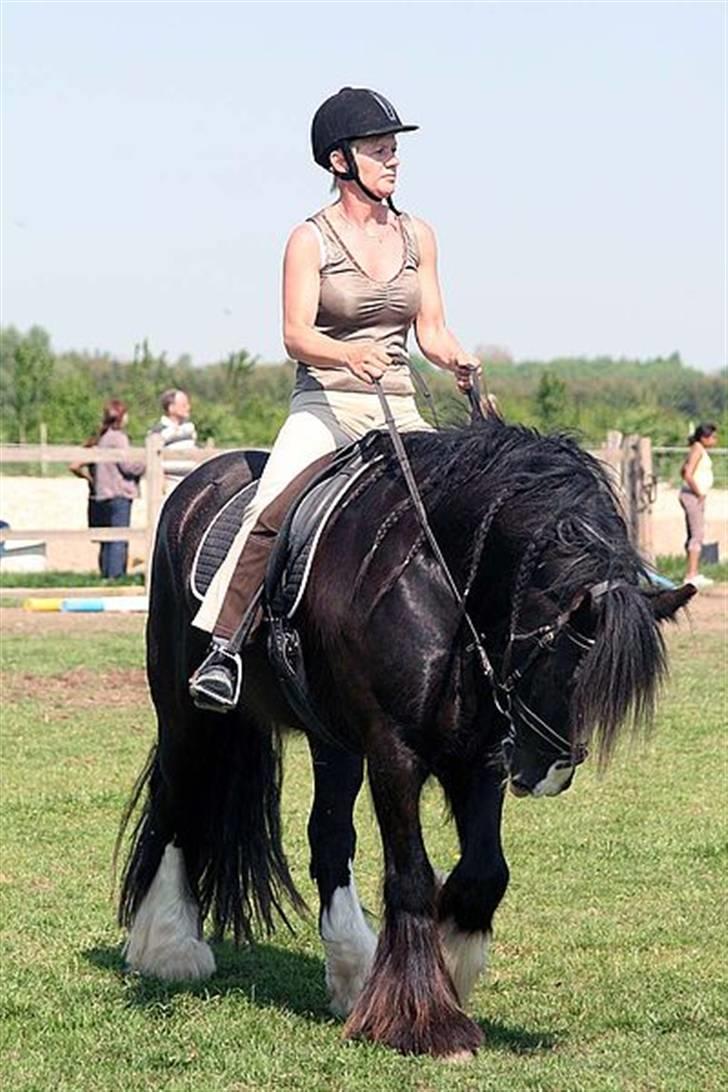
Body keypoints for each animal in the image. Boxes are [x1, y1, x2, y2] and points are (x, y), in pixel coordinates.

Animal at [116, 419, 694, 1057]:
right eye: (564, 666)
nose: (550, 774)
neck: (444, 581)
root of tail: (196, 485)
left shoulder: (482, 753)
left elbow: (486, 871)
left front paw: (449, 969)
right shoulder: (394, 751)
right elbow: (412, 874)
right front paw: (427, 1019)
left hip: (333, 740)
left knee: (328, 837)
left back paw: (352, 973)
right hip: (186, 714)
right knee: (174, 807)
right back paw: (170, 949)